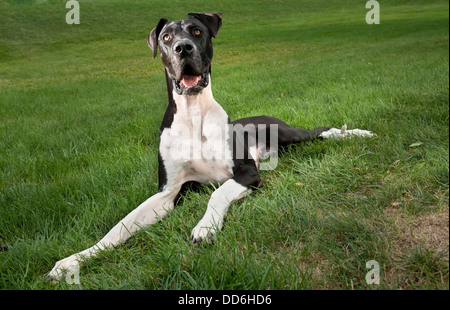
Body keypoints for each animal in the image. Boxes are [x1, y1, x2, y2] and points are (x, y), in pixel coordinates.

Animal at [47, 12, 374, 280]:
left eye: (196, 31)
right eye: (166, 38)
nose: (183, 48)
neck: (193, 114)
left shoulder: (247, 173)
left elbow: (217, 194)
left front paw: (205, 227)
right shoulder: (167, 193)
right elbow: (121, 226)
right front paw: (74, 260)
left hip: (288, 134)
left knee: (321, 131)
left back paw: (358, 134)